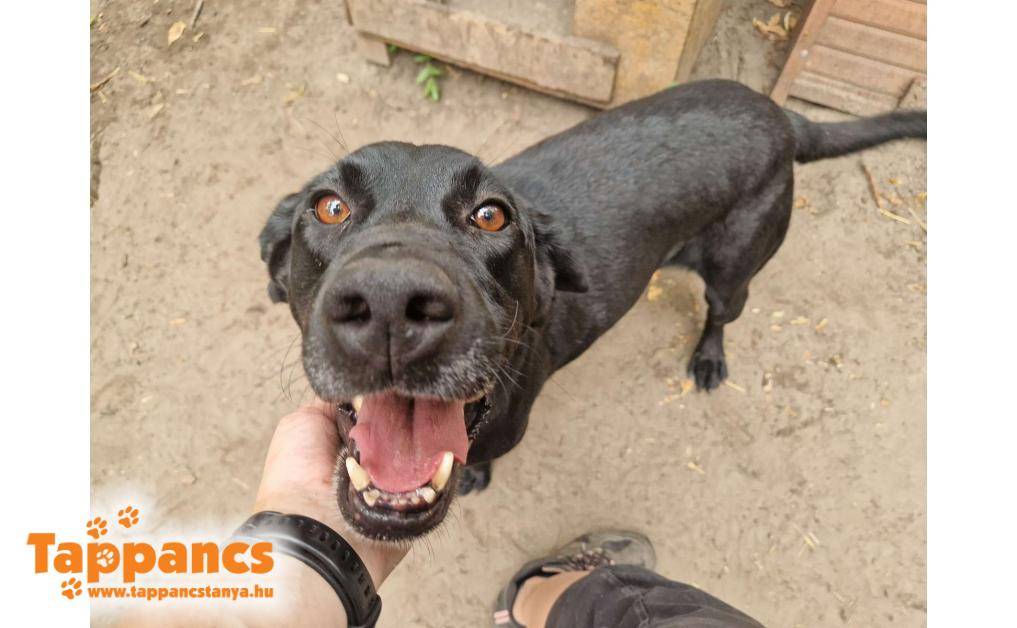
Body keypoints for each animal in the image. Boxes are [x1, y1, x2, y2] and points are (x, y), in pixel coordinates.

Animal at [259, 80, 926, 541]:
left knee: (722, 312)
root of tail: (781, 115)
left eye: (491, 215)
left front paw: (476, 475)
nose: (391, 302)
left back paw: (709, 359)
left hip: (735, 268)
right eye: (330, 207)